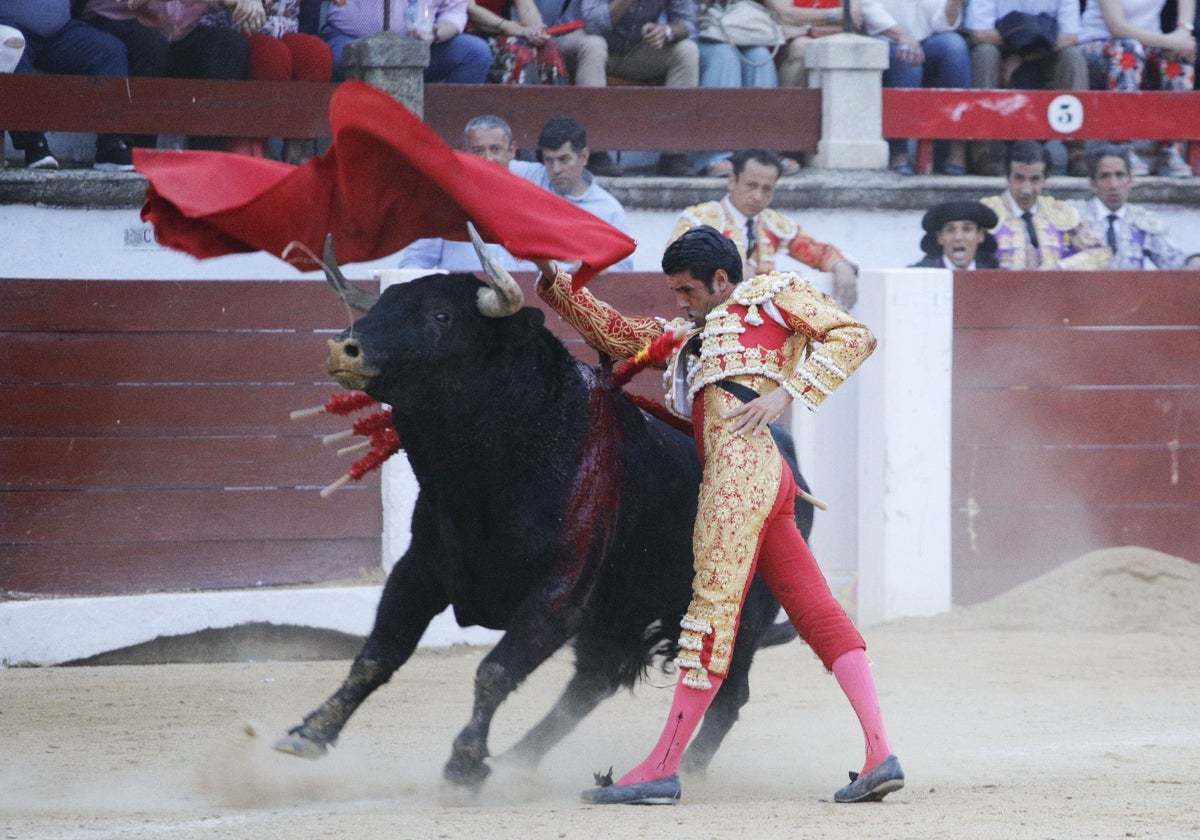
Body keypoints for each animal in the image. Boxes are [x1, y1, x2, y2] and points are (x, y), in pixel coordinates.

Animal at [276, 268, 811, 787]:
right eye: (385, 303)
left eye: (442, 315)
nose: (343, 348)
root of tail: (791, 467)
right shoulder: (419, 571)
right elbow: (377, 655)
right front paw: (309, 733)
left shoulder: (559, 593)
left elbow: (494, 670)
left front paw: (464, 764)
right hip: (618, 614)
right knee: (594, 681)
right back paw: (520, 760)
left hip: (743, 612)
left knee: (726, 689)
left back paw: (690, 769)